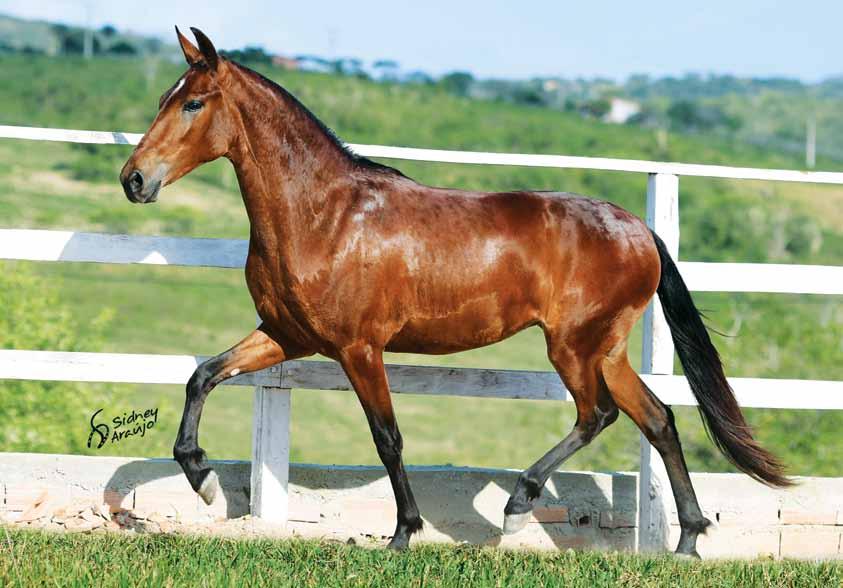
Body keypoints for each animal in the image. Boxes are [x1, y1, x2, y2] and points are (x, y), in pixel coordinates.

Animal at [120, 27, 792, 560]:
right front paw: (203, 478)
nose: (134, 179)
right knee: (657, 419)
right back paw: (686, 541)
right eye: (165, 99)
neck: (325, 215)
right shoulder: (286, 335)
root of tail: (639, 229)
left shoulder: (359, 348)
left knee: (596, 414)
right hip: (607, 348)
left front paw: (403, 534)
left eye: (193, 103)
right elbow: (203, 376)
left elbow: (387, 438)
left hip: (574, 346)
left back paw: (519, 507)